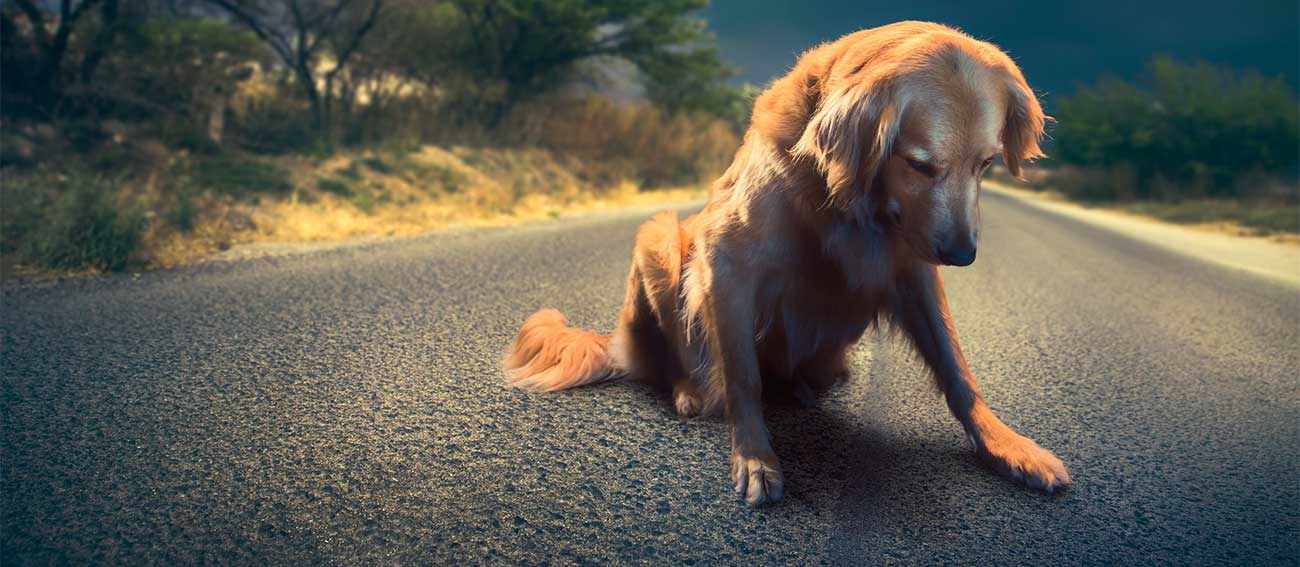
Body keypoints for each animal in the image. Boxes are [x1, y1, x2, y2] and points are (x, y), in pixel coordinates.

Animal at [501, 22, 1071, 507]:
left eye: (986, 164)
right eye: (920, 165)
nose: (962, 255)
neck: (844, 200)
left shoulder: (913, 273)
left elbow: (957, 369)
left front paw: (1006, 445)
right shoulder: (726, 262)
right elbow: (742, 376)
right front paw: (756, 459)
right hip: (658, 237)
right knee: (675, 360)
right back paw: (689, 392)